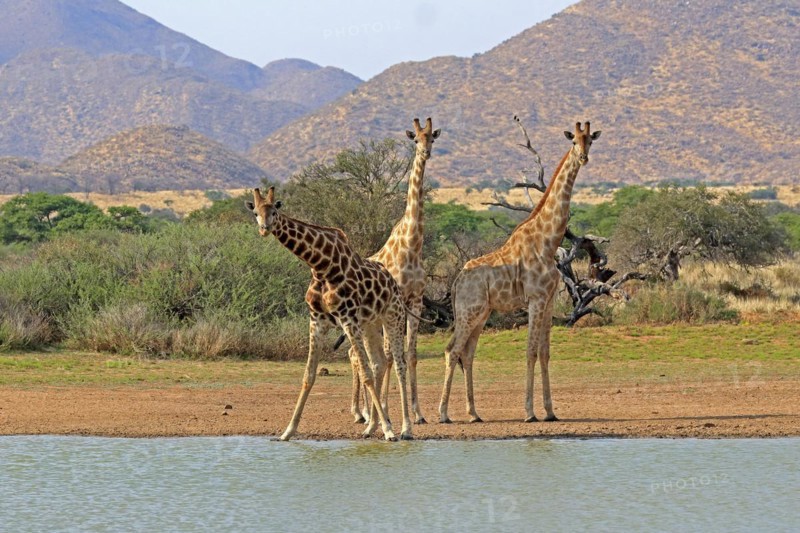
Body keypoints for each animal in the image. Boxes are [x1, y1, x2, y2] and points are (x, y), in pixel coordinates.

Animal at [246, 187, 413, 441]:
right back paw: (371, 427)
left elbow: (364, 373)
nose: (264, 229)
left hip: (393, 316)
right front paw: (287, 431)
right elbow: (308, 375)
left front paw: (388, 430)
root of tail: (392, 281)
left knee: (399, 363)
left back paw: (404, 428)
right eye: (255, 212)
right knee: (379, 363)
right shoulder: (317, 321)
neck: (320, 265)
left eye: (274, 211)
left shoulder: (347, 318)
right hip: (369, 324)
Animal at [349, 117, 441, 425]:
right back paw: (362, 412)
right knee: (358, 355)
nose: (426, 153)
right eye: (415, 139)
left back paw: (365, 411)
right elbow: (390, 356)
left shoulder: (416, 300)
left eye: (432, 138)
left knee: (359, 354)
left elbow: (410, 354)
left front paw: (418, 413)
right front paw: (387, 412)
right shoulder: (397, 302)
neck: (412, 247)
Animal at [438, 121, 601, 424]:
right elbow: (531, 351)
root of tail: (456, 282)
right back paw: (443, 414)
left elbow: (545, 353)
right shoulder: (535, 299)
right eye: (574, 141)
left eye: (590, 141)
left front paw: (550, 411)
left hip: (481, 313)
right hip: (468, 311)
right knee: (452, 350)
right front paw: (529, 412)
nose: (584, 157)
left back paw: (474, 413)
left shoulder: (549, 301)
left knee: (468, 353)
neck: (548, 242)